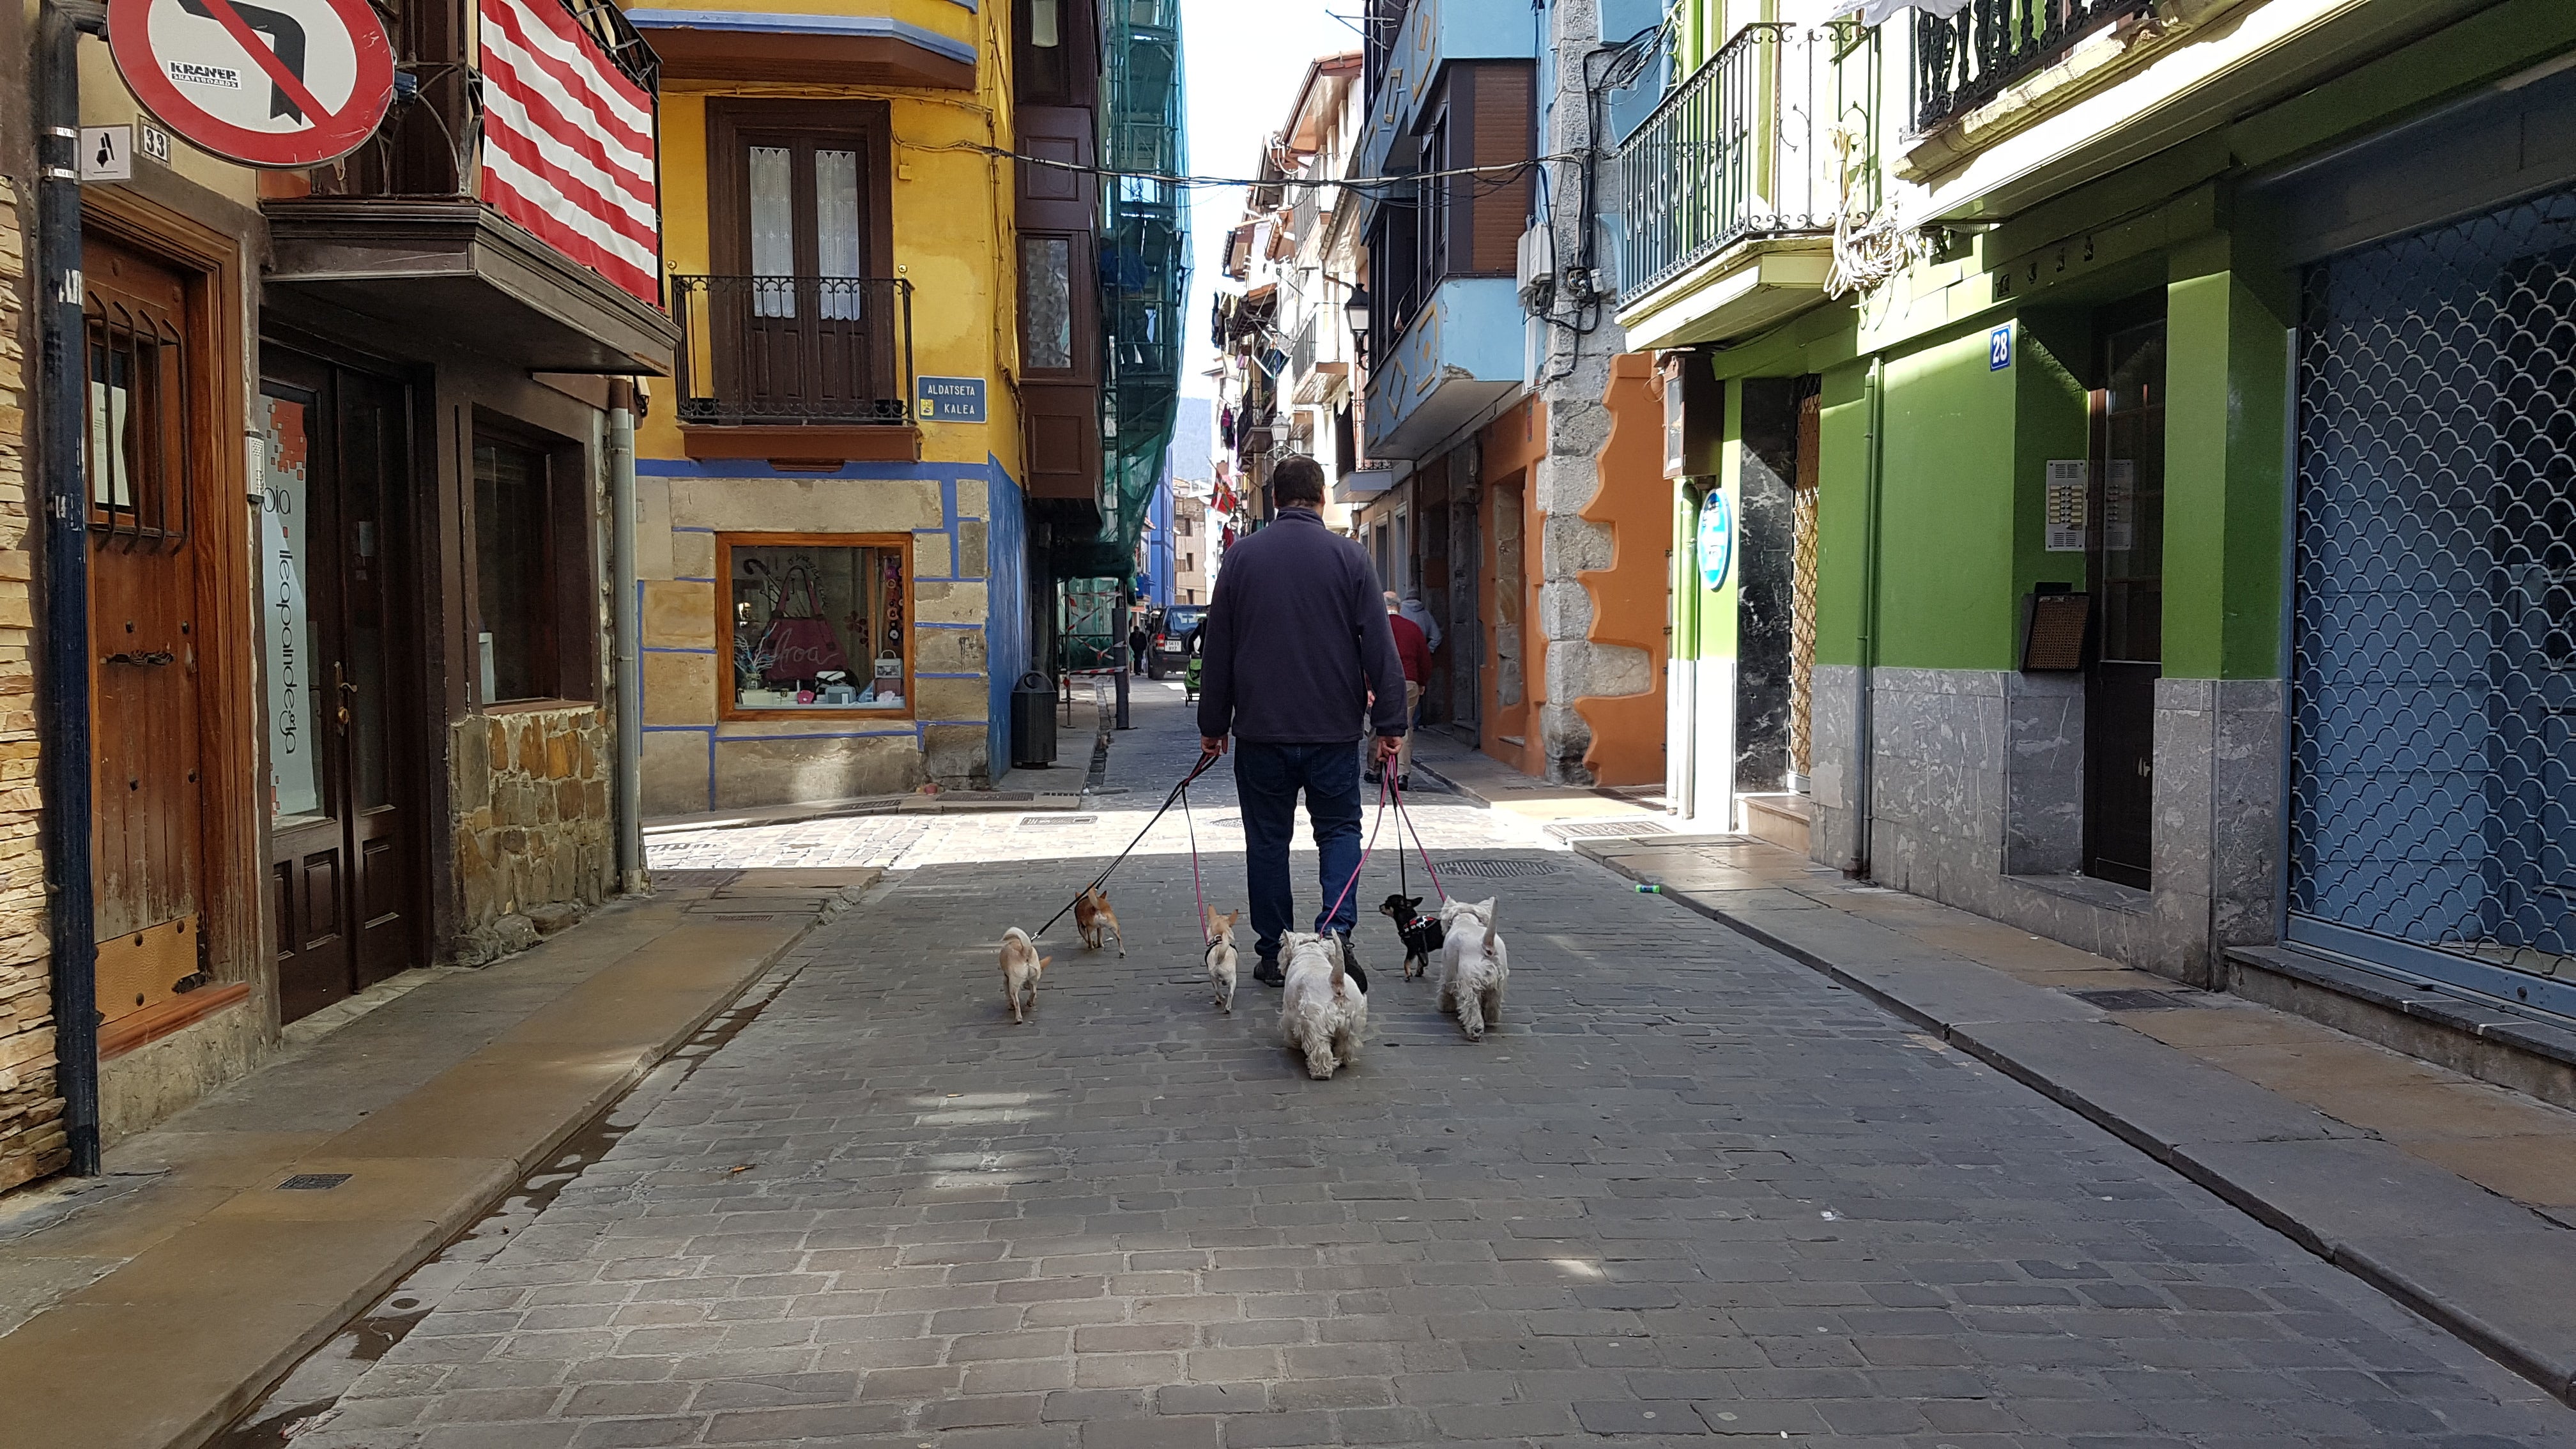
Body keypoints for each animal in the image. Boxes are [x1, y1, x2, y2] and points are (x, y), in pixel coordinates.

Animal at [999, 917, 1051, 1021]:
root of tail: (1025, 952)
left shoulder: (1006, 980)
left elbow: (1008, 996)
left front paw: (1010, 1005)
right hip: (1033, 977)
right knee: (1034, 991)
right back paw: (1030, 1002)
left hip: (1013, 986)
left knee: (1017, 1001)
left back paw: (1018, 1018)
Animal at [1200, 907, 1241, 1010]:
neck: (1220, 939)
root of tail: (1220, 957)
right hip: (1232, 978)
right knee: (1230, 993)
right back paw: (1226, 1006)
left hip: (1213, 977)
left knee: (1217, 990)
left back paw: (1221, 1000)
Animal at [1282, 928, 1370, 1077]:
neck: (1310, 953)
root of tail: (1337, 982)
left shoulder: (1291, 1013)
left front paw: (1293, 1043)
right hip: (1354, 1020)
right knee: (1345, 1044)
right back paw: (1342, 1060)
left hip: (1316, 1022)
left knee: (1321, 1049)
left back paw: (1320, 1073)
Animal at [1370, 892, 1453, 979]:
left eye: (1387, 903)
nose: (1380, 906)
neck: (1409, 922)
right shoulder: (1422, 950)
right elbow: (1421, 961)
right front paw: (1419, 972)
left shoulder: (1412, 948)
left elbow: (1406, 962)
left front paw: (1408, 974)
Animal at [1442, 892, 1504, 1036]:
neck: (1466, 920)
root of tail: (1486, 945)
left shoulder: (1449, 971)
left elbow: (1446, 989)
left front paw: (1445, 1006)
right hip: (1498, 981)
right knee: (1494, 1001)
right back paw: (1491, 1019)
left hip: (1469, 979)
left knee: (1471, 1005)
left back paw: (1475, 1030)